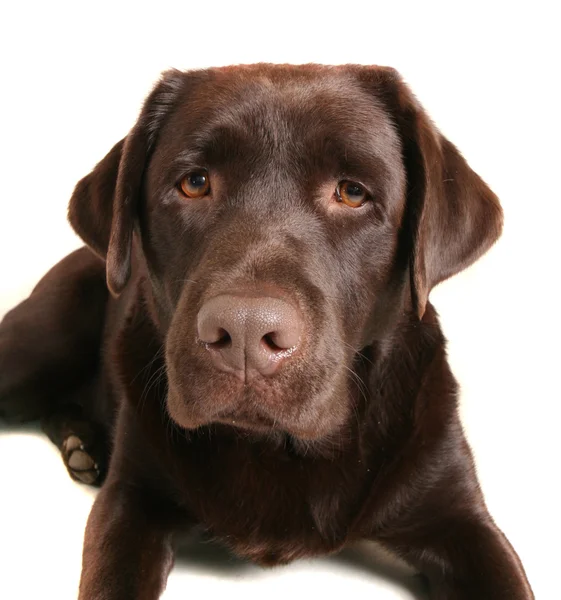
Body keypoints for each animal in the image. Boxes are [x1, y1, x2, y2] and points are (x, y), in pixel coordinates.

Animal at [0, 63, 532, 596]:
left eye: (352, 192)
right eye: (194, 183)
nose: (244, 333)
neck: (280, 448)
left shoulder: (459, 517)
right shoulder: (130, 500)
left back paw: (82, 445)